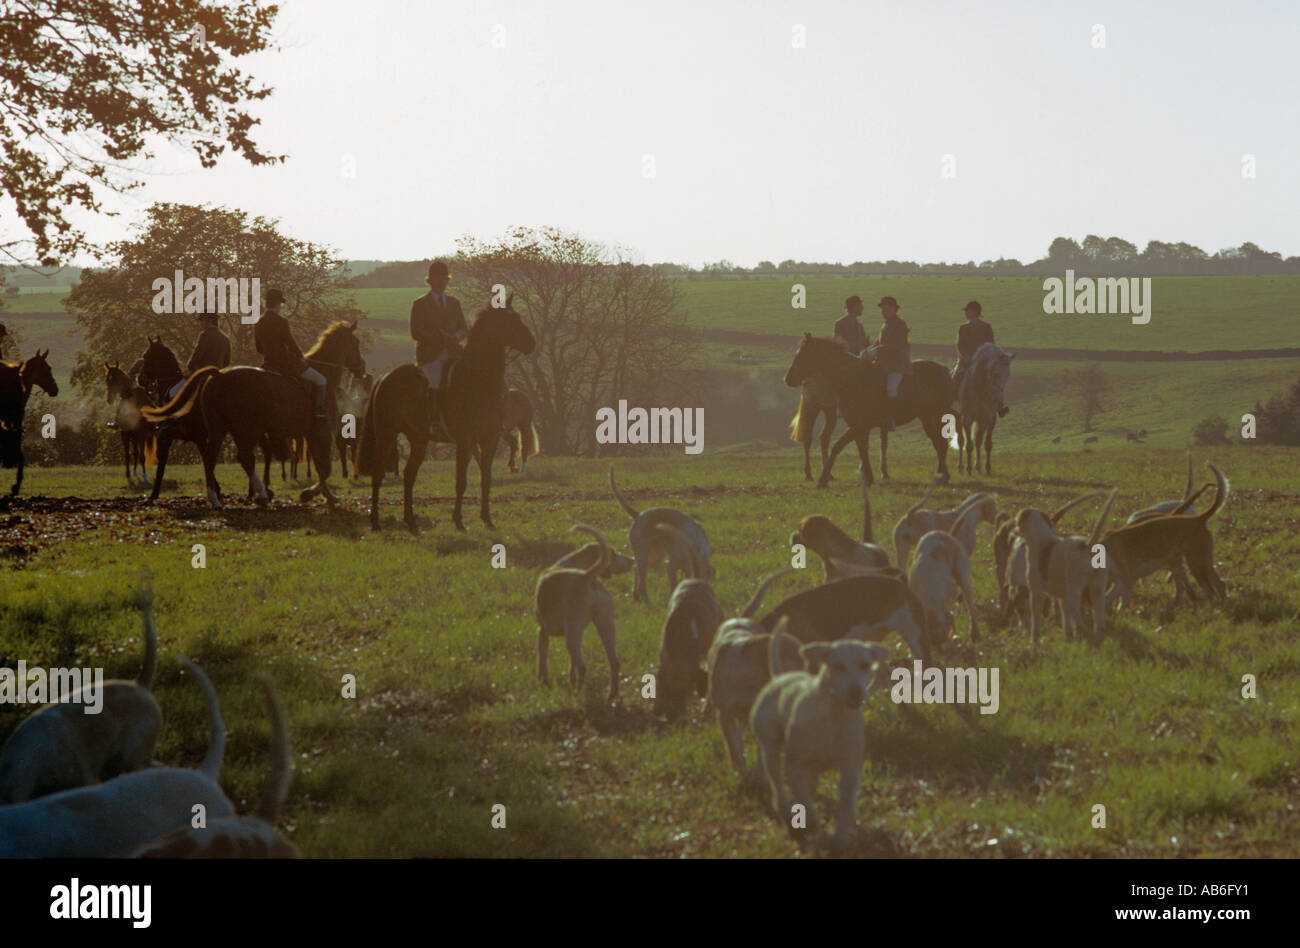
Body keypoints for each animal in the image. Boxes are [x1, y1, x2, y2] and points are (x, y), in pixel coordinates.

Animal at [144, 319, 364, 509]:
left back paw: (226, 497)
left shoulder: (313, 434)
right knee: (241, 457)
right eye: (356, 342)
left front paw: (325, 495)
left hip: (226, 429)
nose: (361, 368)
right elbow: (324, 467)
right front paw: (313, 494)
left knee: (221, 456)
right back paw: (255, 494)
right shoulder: (319, 432)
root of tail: (218, 374)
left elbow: (321, 466)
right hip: (243, 430)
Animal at [356, 293, 533, 527]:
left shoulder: (490, 439)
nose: (531, 342)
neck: (477, 379)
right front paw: (458, 521)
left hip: (419, 439)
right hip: (386, 434)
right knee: (378, 474)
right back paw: (375, 521)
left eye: (518, 317)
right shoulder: (465, 441)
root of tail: (385, 377)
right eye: (507, 320)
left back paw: (410, 519)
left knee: (409, 474)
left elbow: (486, 478)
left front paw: (487, 519)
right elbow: (461, 481)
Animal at [780, 335, 956, 488]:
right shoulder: (859, 427)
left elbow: (838, 446)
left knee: (940, 444)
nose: (787, 379)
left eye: (802, 355)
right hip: (927, 418)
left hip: (935, 416)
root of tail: (944, 370)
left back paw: (943, 476)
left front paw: (823, 479)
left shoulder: (859, 425)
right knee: (938, 443)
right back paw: (943, 475)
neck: (852, 379)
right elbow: (862, 448)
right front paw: (868, 478)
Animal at [956, 340, 1013, 473]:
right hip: (958, 418)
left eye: (1008, 375)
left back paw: (978, 466)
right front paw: (969, 469)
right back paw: (961, 466)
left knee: (978, 441)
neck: (980, 390)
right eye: (995, 373)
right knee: (961, 441)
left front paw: (987, 468)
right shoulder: (967, 419)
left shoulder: (989, 418)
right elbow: (969, 445)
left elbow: (986, 444)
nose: (998, 399)